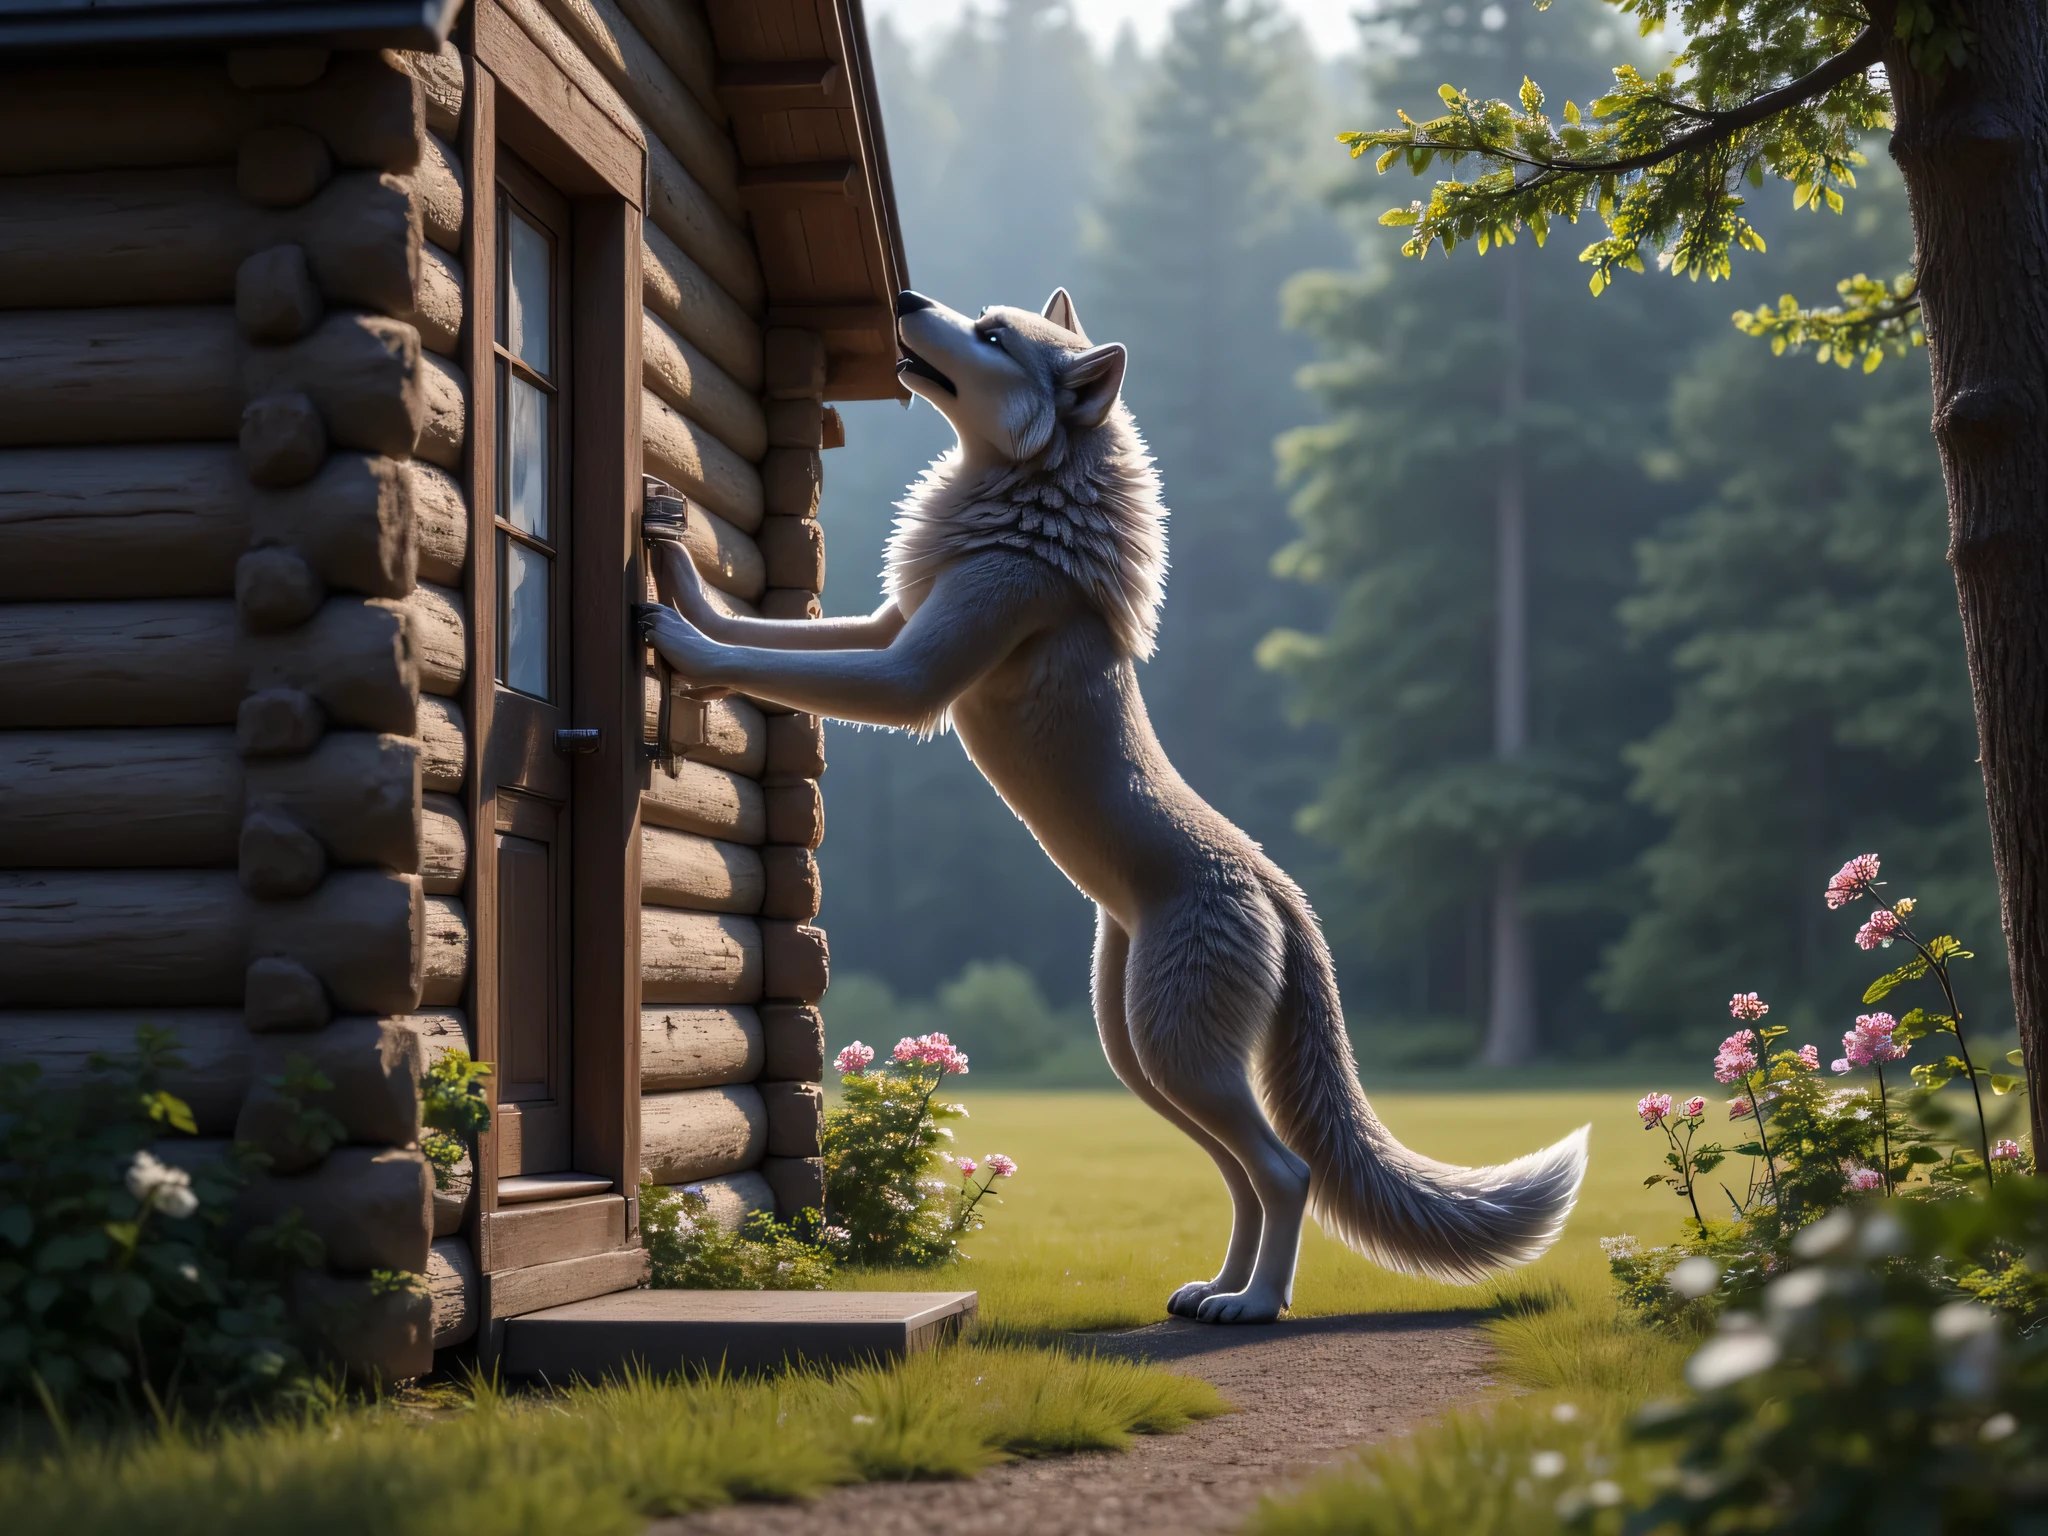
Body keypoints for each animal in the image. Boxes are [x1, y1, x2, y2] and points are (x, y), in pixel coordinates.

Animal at [642, 288, 1589, 1323]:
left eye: (992, 336)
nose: (909, 298)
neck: (1026, 500)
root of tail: (1279, 889)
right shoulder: (894, 623)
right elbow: (778, 632)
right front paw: (675, 567)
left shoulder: (913, 673)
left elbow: (768, 659)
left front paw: (678, 642)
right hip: (1139, 1048)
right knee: (1242, 1175)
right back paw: (1215, 1291)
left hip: (1176, 1051)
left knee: (1287, 1170)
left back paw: (1257, 1306)